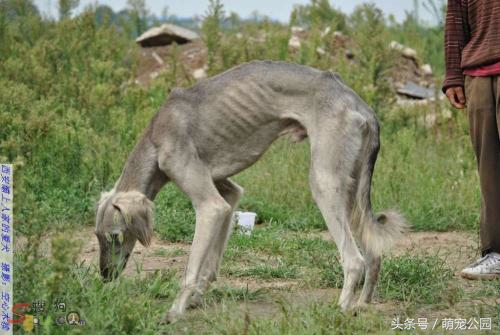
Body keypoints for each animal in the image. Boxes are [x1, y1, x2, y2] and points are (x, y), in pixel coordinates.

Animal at [94, 60, 406, 322]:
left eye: (116, 236)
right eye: (98, 237)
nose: (105, 277)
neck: (156, 137)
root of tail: (360, 104)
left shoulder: (210, 205)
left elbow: (192, 267)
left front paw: (176, 310)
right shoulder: (228, 195)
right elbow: (211, 262)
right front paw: (196, 298)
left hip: (325, 182)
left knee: (354, 260)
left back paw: (339, 309)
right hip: (352, 188)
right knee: (374, 253)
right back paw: (361, 305)